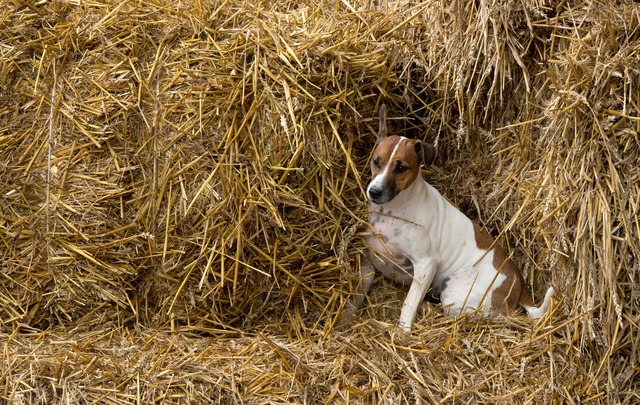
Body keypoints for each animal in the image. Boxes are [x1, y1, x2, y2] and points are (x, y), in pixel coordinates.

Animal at [358, 105, 552, 332]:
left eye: (401, 168)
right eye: (376, 161)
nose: (374, 192)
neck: (393, 209)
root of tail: (518, 284)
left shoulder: (426, 265)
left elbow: (409, 304)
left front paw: (402, 331)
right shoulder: (368, 261)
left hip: (453, 290)